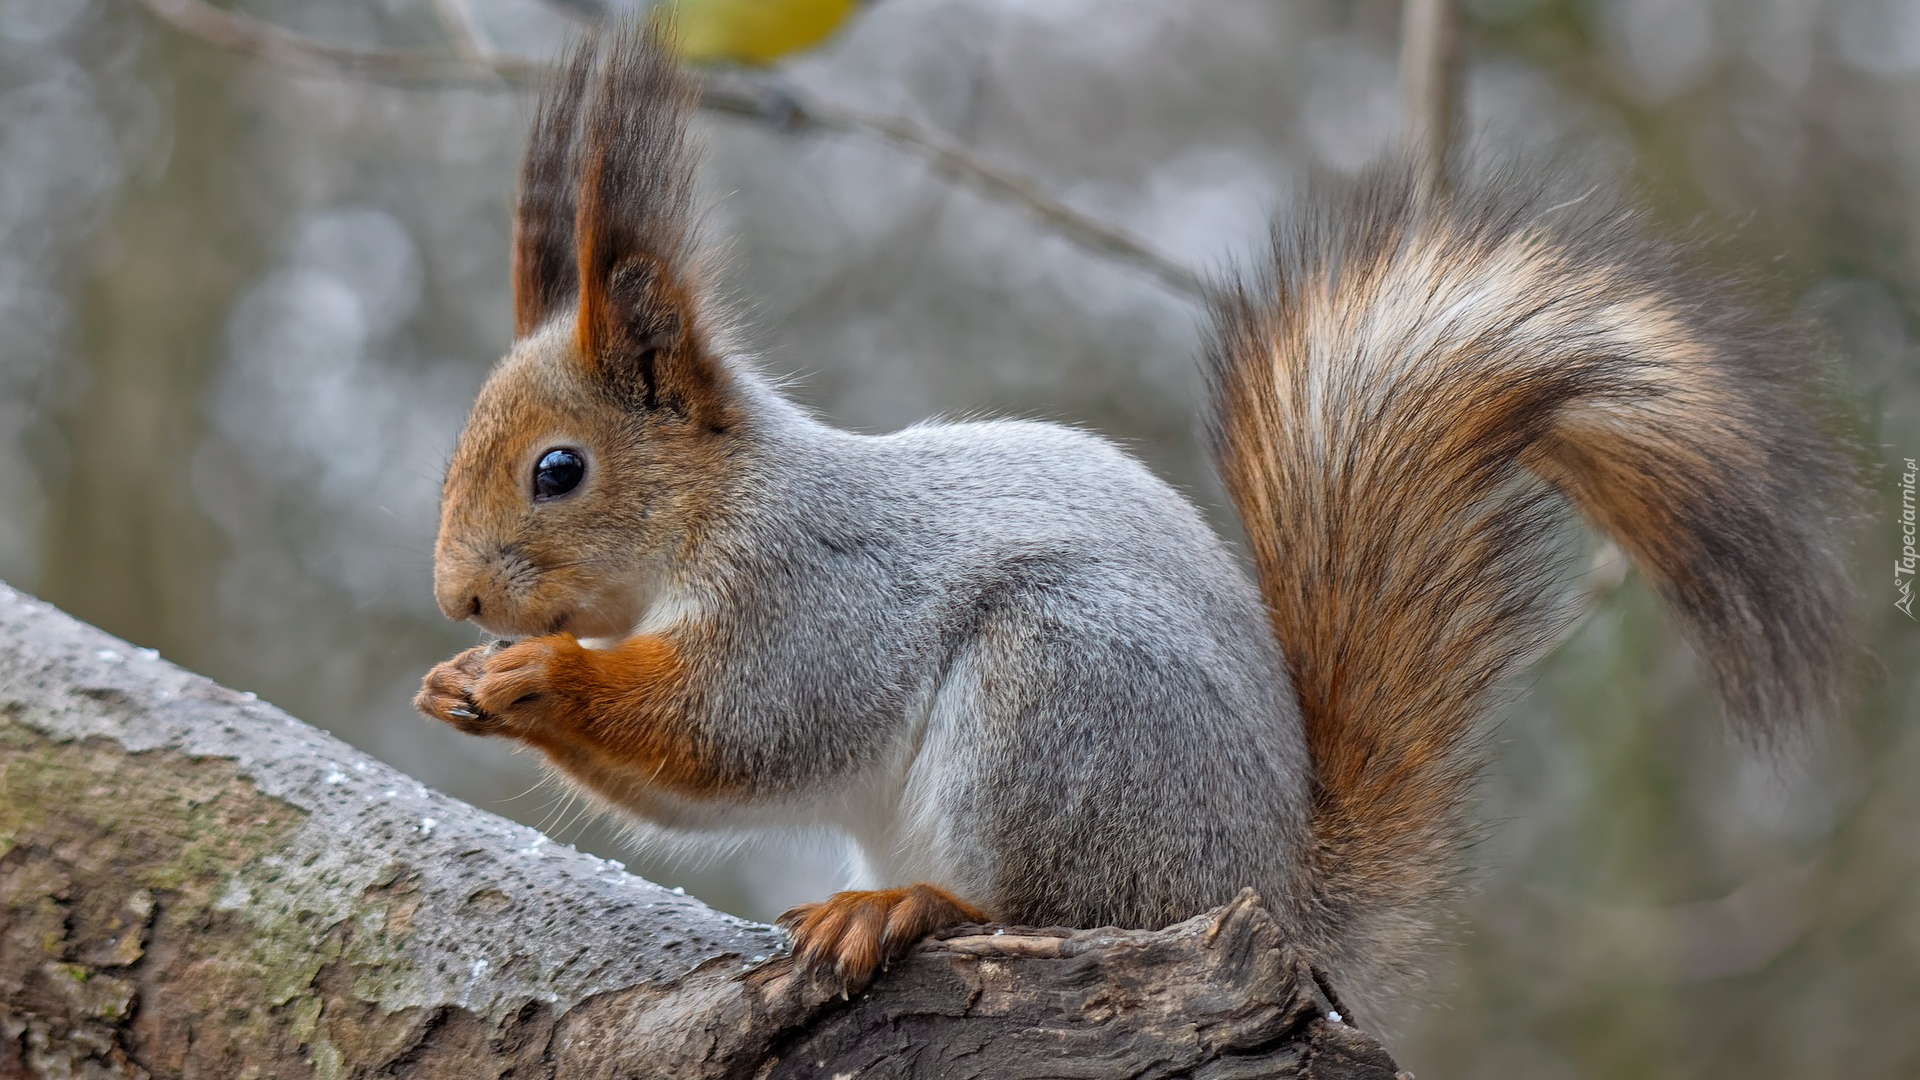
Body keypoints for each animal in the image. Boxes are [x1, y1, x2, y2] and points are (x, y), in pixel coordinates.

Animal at [408, 21, 1858, 1006]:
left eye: (557, 470)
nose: (457, 599)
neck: (715, 507)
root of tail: (1272, 889)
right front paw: (459, 683)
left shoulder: (817, 591)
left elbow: (739, 728)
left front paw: (539, 675)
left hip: (1058, 700)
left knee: (1049, 905)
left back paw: (909, 906)